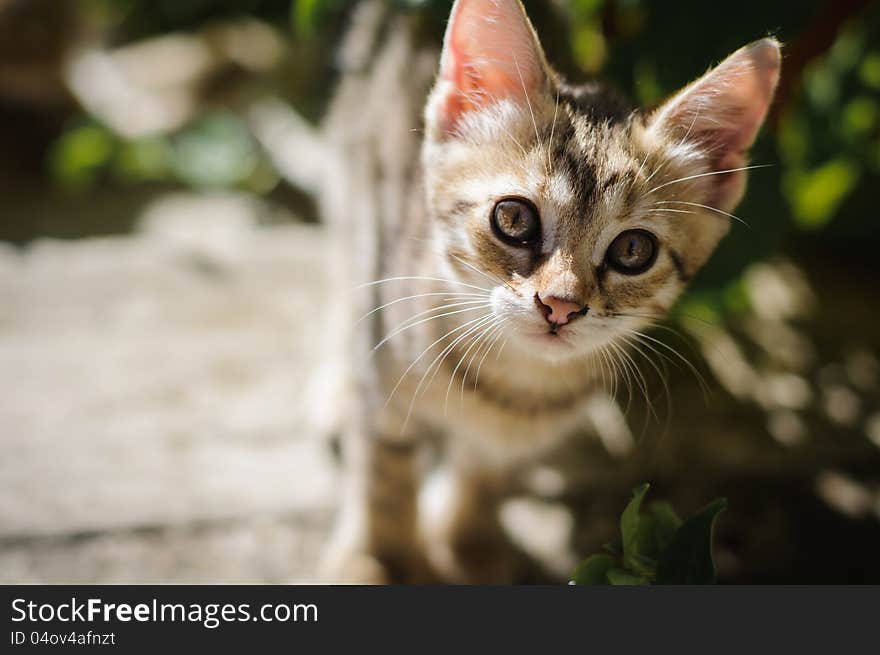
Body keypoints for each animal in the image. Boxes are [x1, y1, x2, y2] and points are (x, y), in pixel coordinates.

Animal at [322, 0, 776, 584]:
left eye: (633, 249)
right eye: (514, 218)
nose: (560, 305)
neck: (513, 386)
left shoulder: (518, 438)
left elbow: (489, 471)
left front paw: (470, 543)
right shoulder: (386, 388)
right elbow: (385, 471)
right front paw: (378, 561)